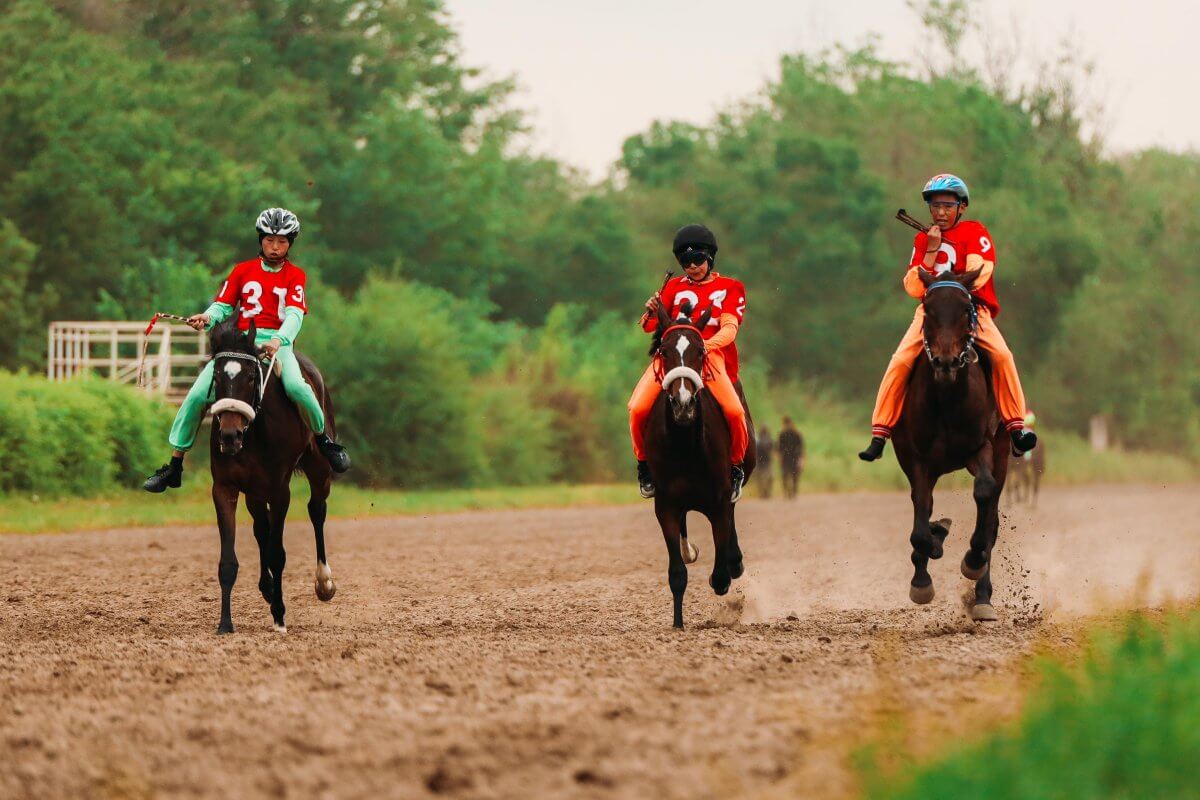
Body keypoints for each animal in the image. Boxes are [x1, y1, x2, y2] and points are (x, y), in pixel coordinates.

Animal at [206, 316, 338, 633]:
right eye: (216, 376)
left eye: (251, 377)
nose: (229, 436)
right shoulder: (225, 487)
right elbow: (228, 561)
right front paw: (225, 624)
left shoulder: (280, 490)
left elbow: (278, 553)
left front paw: (279, 615)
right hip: (255, 491)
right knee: (261, 528)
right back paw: (266, 588)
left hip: (319, 470)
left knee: (317, 510)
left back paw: (324, 582)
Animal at [643, 303, 753, 628]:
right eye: (663, 350)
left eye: (701, 351)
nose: (683, 402)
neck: (685, 444)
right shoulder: (666, 504)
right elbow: (677, 573)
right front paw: (678, 623)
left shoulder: (718, 500)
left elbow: (720, 570)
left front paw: (727, 572)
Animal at [892, 268, 1012, 623]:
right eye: (928, 310)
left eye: (964, 308)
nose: (946, 362)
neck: (947, 398)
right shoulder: (918, 460)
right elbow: (921, 515)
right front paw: (922, 580)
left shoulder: (981, 448)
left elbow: (984, 493)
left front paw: (972, 561)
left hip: (1003, 455)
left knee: (991, 522)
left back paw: (982, 597)